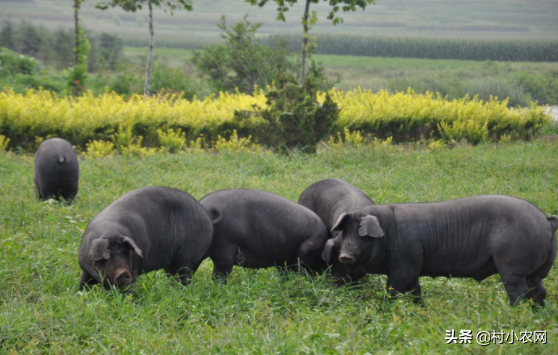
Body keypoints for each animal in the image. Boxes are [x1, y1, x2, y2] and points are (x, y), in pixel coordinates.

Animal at [76, 186, 212, 290]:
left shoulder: (134, 268)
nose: (123, 272)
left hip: (186, 257)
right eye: (106, 257)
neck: (110, 232)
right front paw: (80, 293)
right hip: (172, 263)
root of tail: (207, 217)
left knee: (184, 275)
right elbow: (84, 282)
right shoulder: (85, 268)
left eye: (125, 253)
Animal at [334, 196, 556, 308]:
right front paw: (420, 309)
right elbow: (415, 290)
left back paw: (513, 312)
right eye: (345, 232)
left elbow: (393, 290)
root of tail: (546, 220)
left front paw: (384, 309)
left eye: (363, 235)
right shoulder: (413, 268)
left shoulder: (404, 267)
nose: (344, 255)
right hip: (536, 271)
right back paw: (538, 312)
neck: (389, 233)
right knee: (539, 289)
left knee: (518, 291)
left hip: (512, 265)